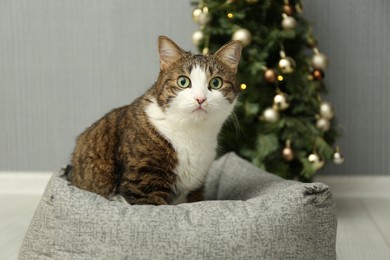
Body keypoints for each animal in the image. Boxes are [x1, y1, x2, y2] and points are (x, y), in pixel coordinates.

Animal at [68, 35, 242, 205]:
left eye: (216, 82)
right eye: (183, 81)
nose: (200, 99)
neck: (192, 133)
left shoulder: (195, 189)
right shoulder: (143, 185)